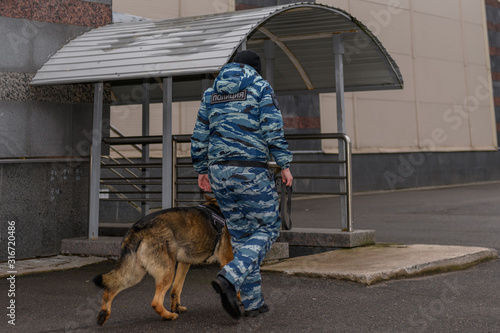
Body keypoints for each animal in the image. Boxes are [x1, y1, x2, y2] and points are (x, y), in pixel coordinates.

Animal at [93, 195, 233, 324]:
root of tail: (139, 227)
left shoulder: (184, 263)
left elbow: (176, 289)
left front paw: (176, 307)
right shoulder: (227, 260)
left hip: (134, 274)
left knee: (110, 288)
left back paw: (103, 314)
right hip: (166, 272)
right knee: (155, 302)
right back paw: (168, 316)